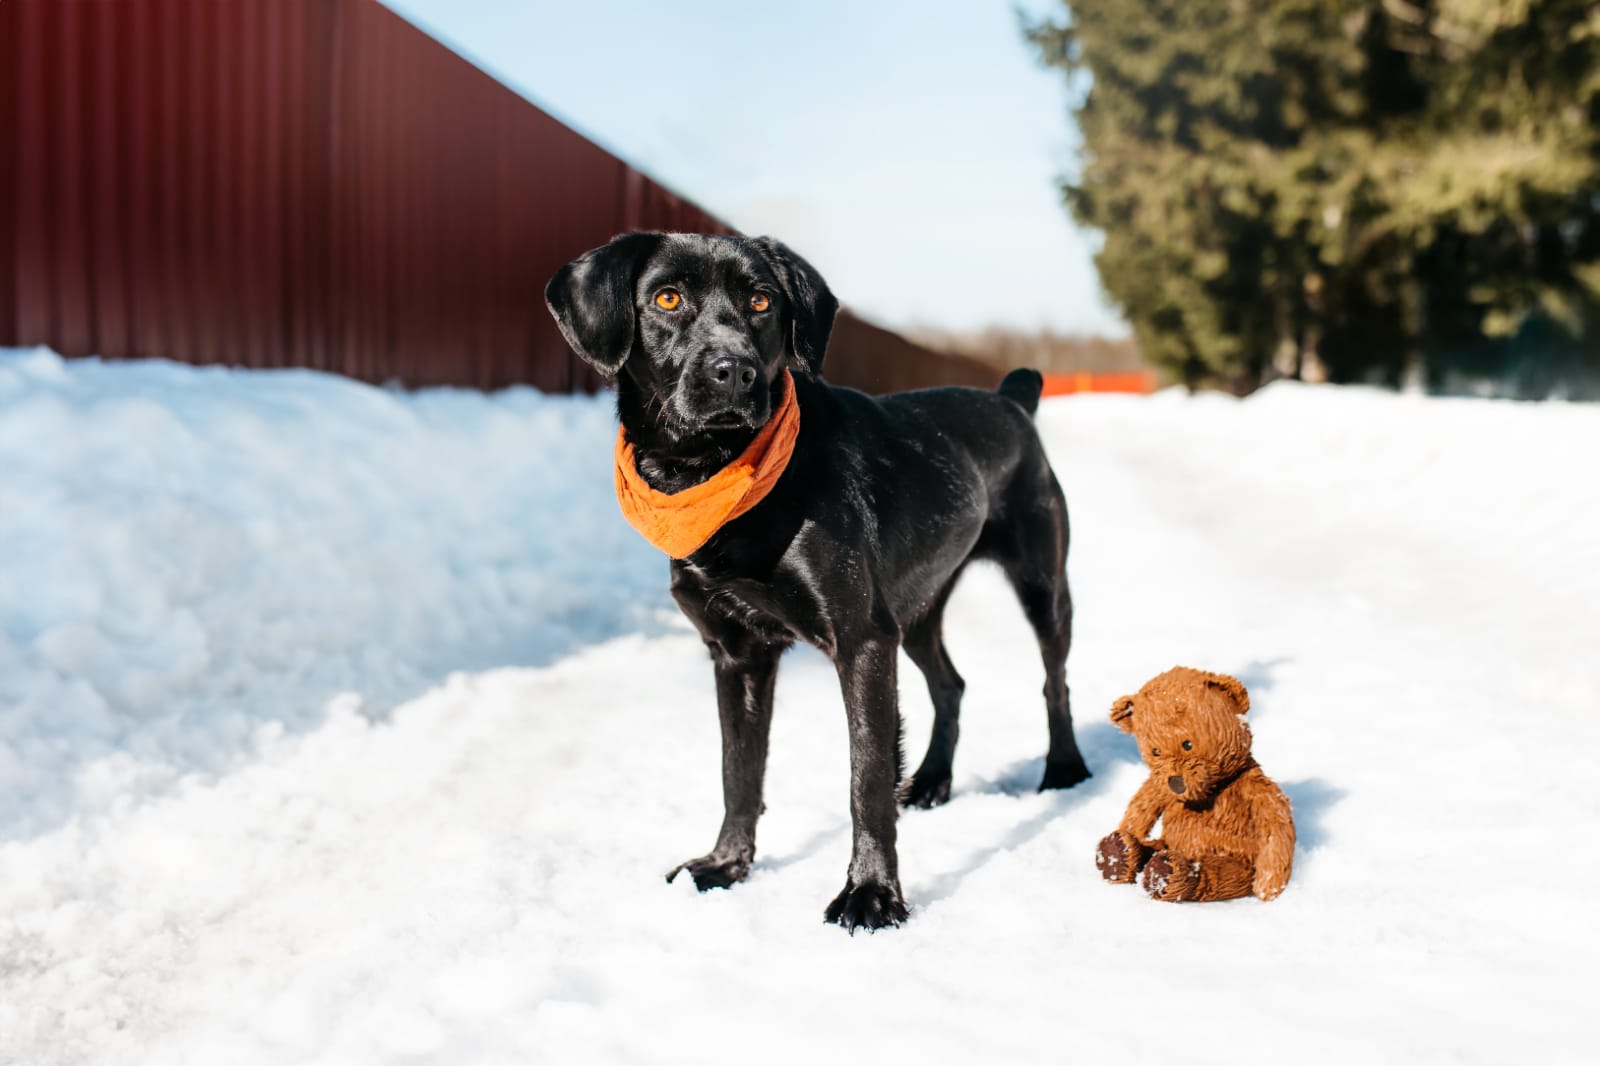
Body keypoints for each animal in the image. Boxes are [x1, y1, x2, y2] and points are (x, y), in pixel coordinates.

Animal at [547, 230, 1088, 921]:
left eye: (760, 300)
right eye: (667, 298)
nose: (734, 371)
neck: (717, 476)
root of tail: (1010, 400)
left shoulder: (862, 640)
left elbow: (866, 776)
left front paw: (872, 895)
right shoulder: (738, 653)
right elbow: (738, 770)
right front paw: (726, 865)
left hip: (1040, 584)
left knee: (1055, 681)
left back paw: (1064, 770)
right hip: (916, 613)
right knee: (952, 684)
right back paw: (933, 781)